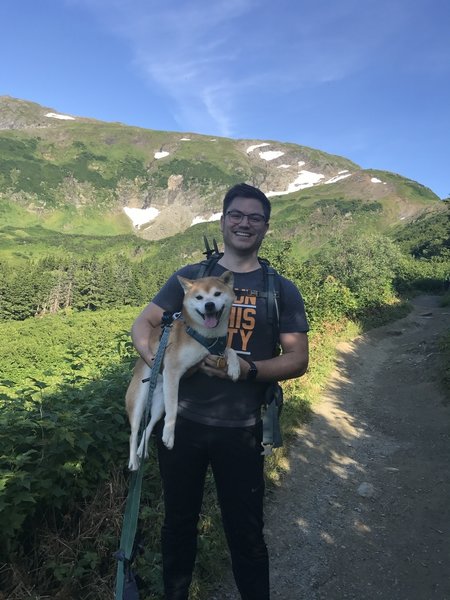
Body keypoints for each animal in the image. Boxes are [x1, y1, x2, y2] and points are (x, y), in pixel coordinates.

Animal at [125, 270, 241, 472]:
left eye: (217, 294)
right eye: (199, 297)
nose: (209, 305)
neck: (203, 336)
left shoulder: (216, 350)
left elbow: (231, 350)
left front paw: (235, 368)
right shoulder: (172, 371)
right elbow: (173, 410)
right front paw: (169, 436)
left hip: (158, 404)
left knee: (149, 425)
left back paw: (142, 450)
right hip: (139, 399)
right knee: (134, 431)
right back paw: (134, 461)